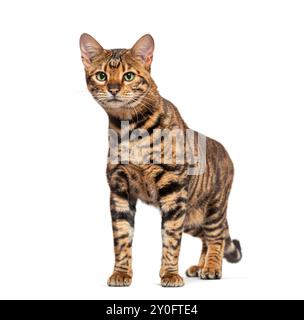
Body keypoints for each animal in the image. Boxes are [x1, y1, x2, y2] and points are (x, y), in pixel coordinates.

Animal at [79, 33, 242, 288]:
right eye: (101, 75)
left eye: (129, 75)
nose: (113, 88)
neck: (129, 129)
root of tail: (226, 152)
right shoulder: (119, 189)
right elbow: (122, 237)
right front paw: (121, 273)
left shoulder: (173, 190)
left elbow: (171, 238)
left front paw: (169, 274)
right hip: (193, 218)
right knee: (206, 238)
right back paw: (200, 266)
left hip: (213, 207)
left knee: (216, 238)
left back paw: (212, 267)